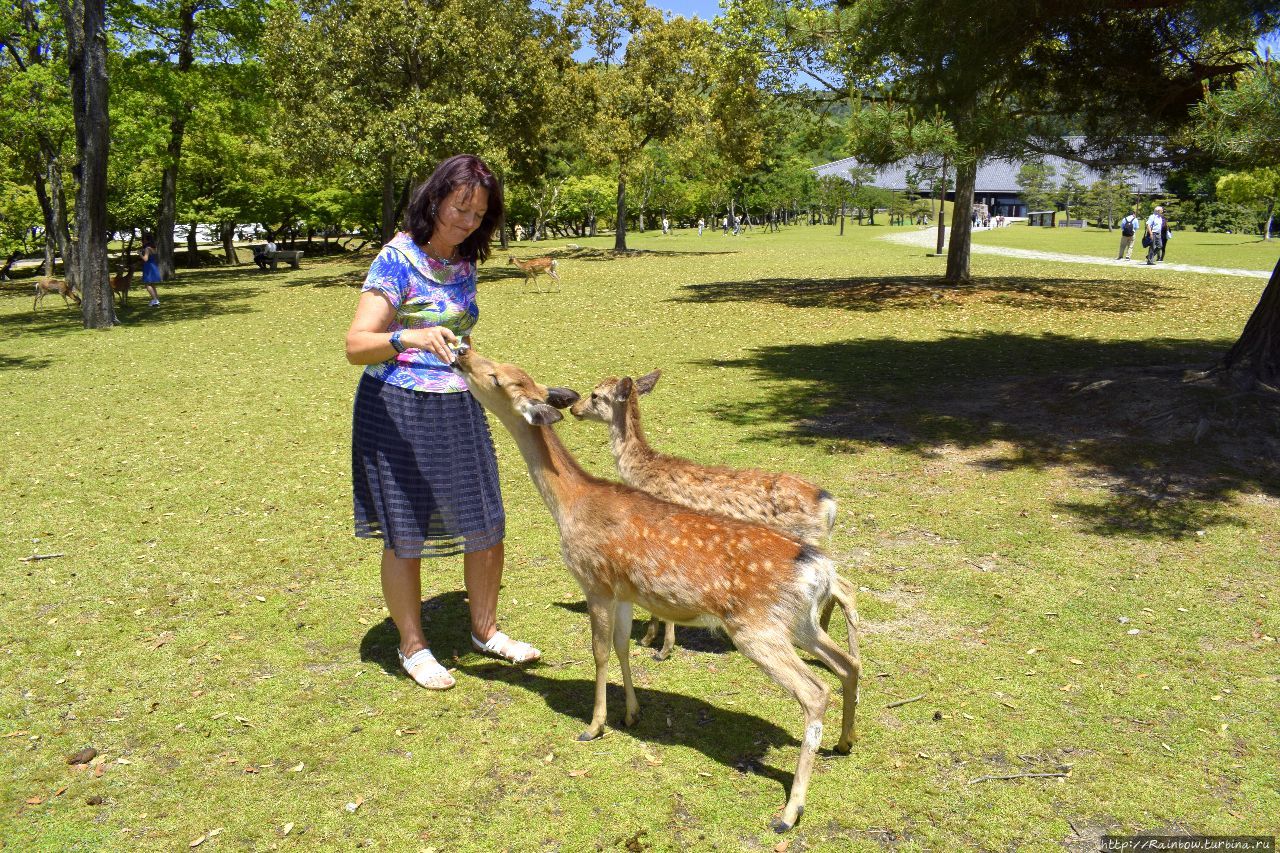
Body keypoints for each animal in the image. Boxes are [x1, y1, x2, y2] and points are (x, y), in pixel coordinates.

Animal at [570, 368, 839, 653]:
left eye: (595, 394)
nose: (574, 407)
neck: (644, 474)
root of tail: (827, 503)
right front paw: (650, 638)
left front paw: (662, 646)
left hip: (804, 539)